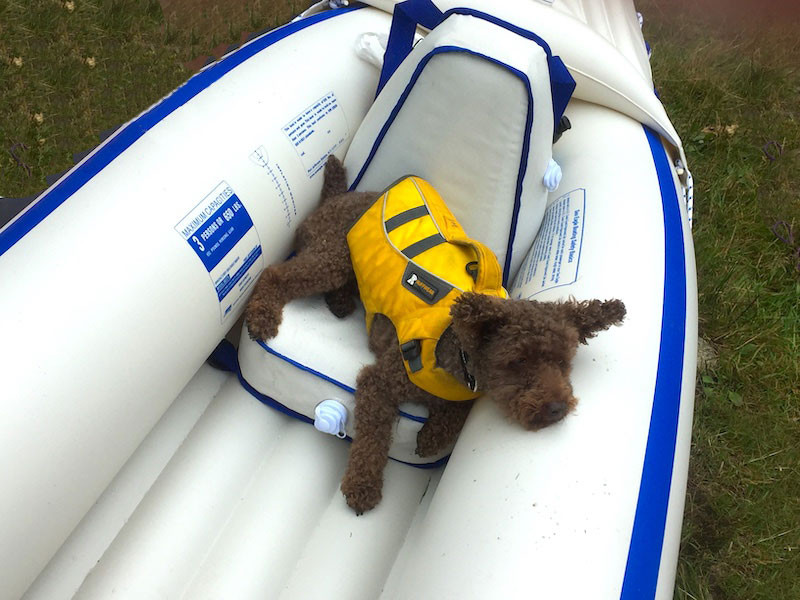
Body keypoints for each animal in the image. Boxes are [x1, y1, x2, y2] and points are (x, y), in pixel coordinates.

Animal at [247, 156, 628, 516]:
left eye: (564, 361)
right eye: (517, 361)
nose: (557, 408)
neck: (457, 358)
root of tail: (343, 196)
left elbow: (455, 414)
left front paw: (431, 436)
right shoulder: (379, 381)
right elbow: (372, 440)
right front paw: (363, 486)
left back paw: (340, 303)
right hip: (333, 255)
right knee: (275, 273)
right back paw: (262, 316)